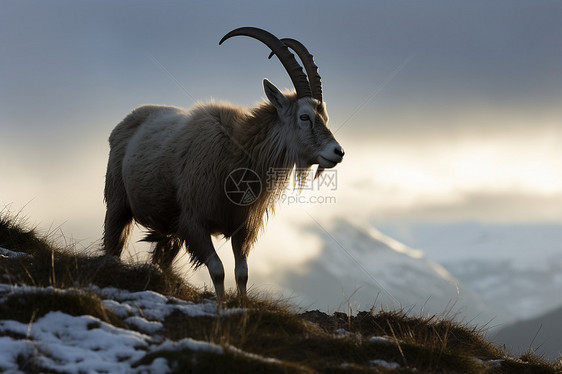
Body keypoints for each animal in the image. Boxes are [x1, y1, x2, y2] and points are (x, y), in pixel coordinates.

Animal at [103, 27, 344, 300]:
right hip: (118, 203)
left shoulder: (242, 229)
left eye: (324, 117)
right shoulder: (194, 223)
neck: (235, 151)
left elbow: (242, 273)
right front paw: (219, 306)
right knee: (113, 244)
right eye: (304, 116)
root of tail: (126, 121)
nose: (337, 152)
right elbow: (218, 270)